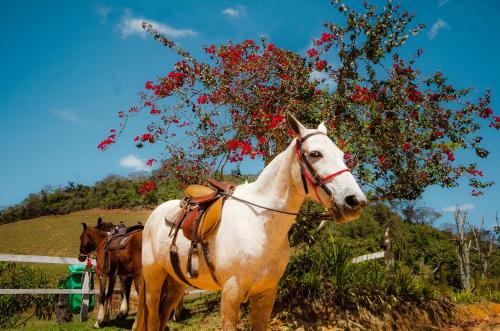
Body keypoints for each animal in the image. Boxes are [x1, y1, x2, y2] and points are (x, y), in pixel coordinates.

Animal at [134, 115, 368, 330]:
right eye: (315, 154)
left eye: (341, 155)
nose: (355, 201)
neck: (260, 225)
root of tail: (153, 217)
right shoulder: (231, 294)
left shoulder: (267, 293)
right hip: (154, 279)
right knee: (153, 318)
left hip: (176, 282)